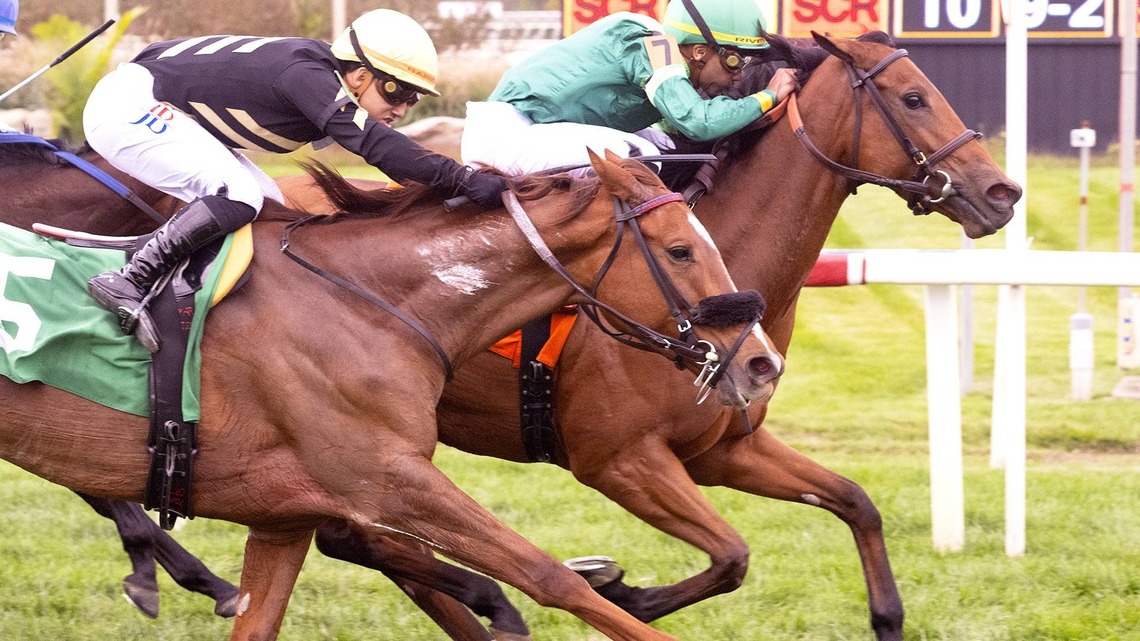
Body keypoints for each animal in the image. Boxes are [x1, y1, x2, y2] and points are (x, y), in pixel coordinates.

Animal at [0, 147, 784, 640]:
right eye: (680, 249)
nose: (761, 362)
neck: (367, 302)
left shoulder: (286, 514)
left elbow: (261, 616)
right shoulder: (388, 479)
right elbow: (551, 578)